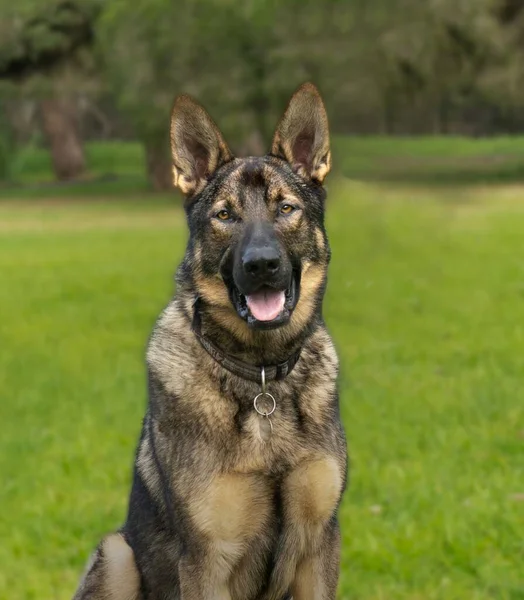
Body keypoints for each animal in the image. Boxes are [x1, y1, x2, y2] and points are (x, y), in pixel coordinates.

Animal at [71, 81, 346, 600]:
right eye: (225, 215)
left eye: (286, 208)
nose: (262, 264)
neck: (262, 379)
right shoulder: (206, 560)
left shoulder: (319, 547)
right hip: (116, 552)